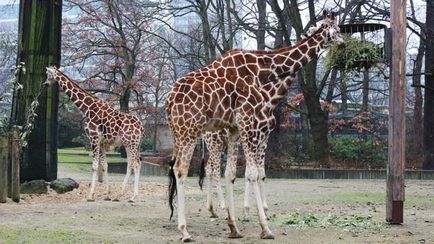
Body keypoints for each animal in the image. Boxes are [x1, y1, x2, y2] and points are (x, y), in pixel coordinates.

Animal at [45, 66, 145, 202]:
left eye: (48, 74)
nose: (45, 84)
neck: (87, 108)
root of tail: (142, 127)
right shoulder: (102, 142)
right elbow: (104, 166)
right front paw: (107, 194)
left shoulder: (94, 138)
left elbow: (94, 166)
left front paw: (90, 195)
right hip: (129, 144)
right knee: (131, 164)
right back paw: (119, 195)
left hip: (132, 143)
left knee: (137, 164)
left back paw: (133, 196)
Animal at [166, 12, 342, 241]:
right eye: (336, 30)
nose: (343, 43)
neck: (261, 71)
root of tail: (169, 100)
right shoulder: (252, 127)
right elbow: (253, 173)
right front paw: (264, 226)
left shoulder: (237, 129)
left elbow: (233, 173)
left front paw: (234, 226)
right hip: (192, 131)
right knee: (184, 169)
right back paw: (186, 230)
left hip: (179, 133)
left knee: (185, 168)